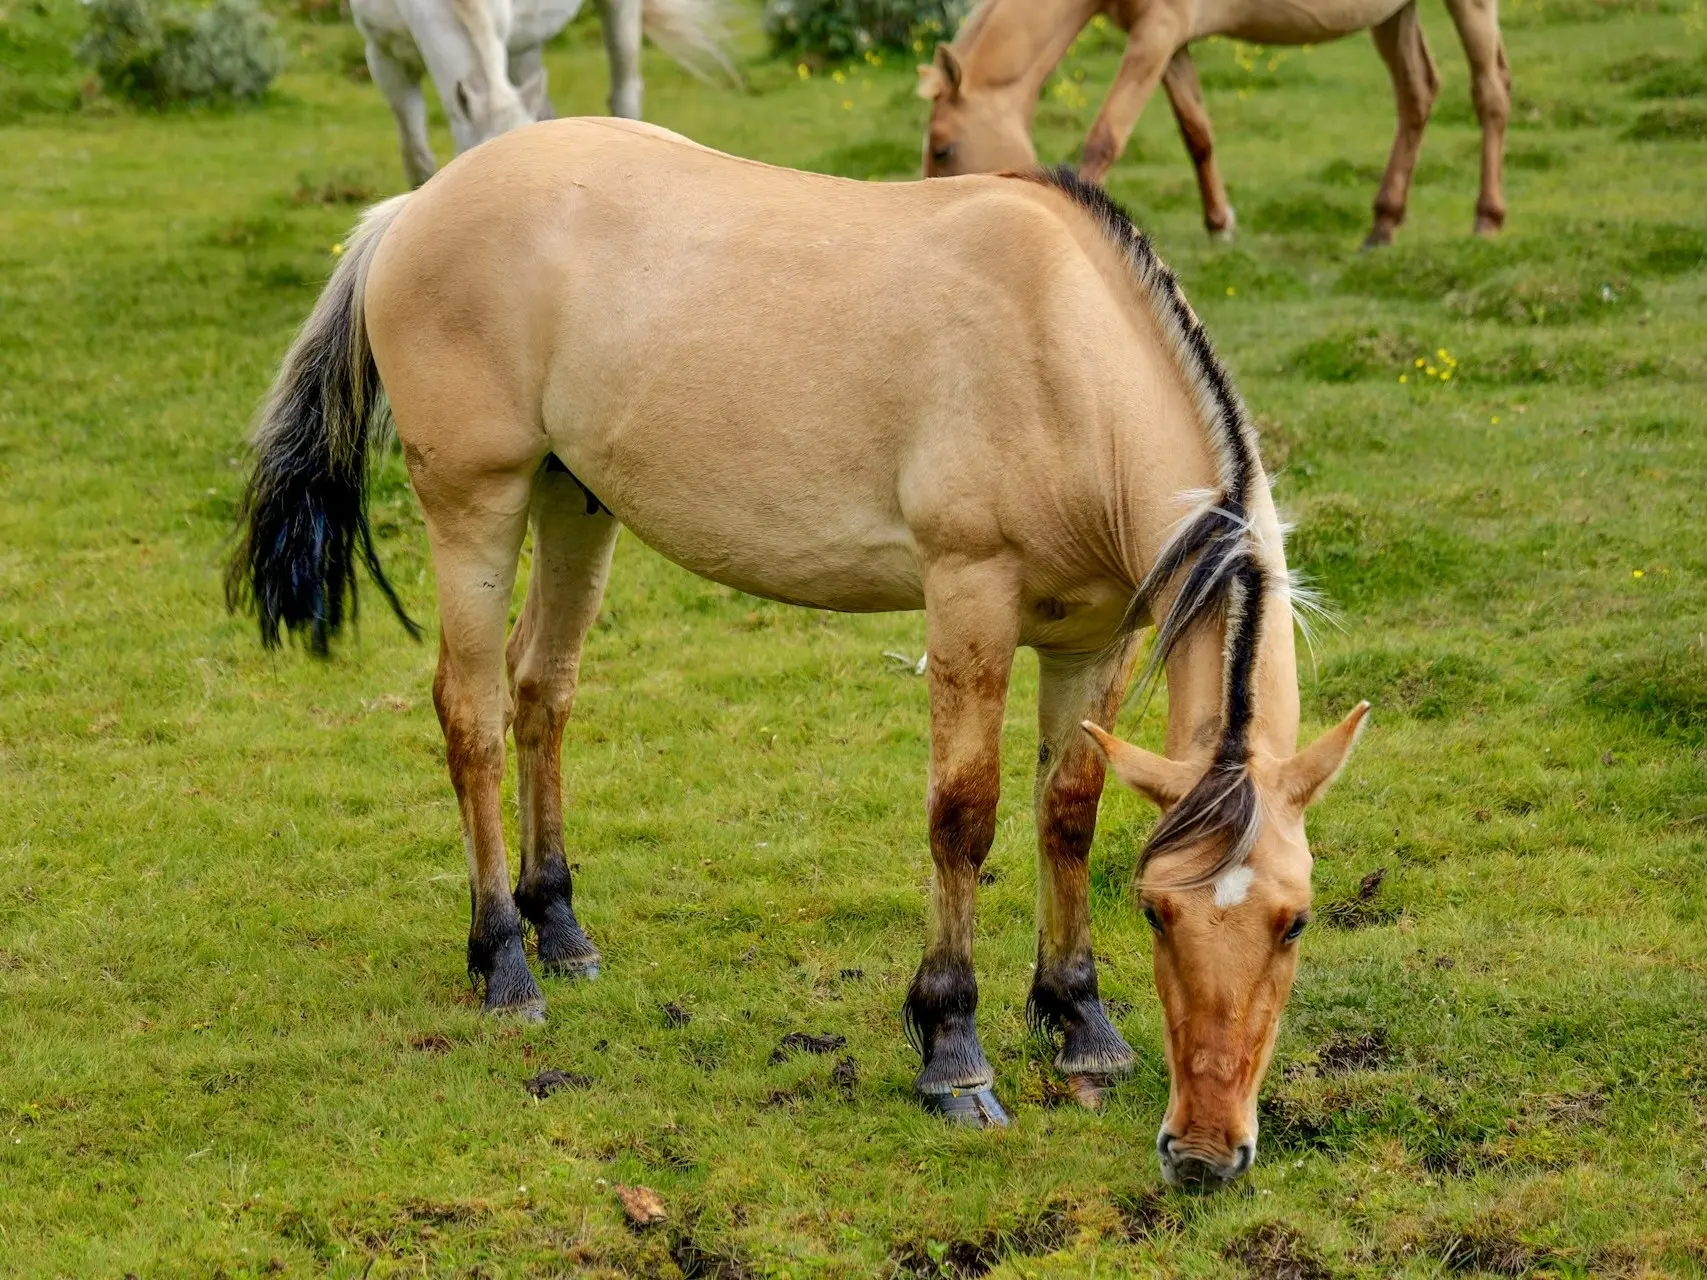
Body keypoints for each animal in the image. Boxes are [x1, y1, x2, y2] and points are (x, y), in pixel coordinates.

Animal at [230, 122, 1372, 1194]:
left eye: (1295, 922)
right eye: (1158, 912)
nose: (1205, 1153)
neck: (1065, 351)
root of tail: (415, 207)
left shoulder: (1094, 636)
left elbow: (1068, 813)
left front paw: (1079, 1021)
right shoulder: (969, 596)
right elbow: (964, 817)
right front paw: (953, 1055)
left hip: (574, 500)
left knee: (539, 691)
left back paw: (560, 926)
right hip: (478, 501)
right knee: (470, 712)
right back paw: (507, 964)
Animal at [921, 0, 1508, 247]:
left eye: (943, 149)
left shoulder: (1157, 32)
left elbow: (1106, 137)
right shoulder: (1171, 42)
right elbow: (1196, 132)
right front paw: (1220, 223)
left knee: (1491, 92)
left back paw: (1487, 219)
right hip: (1393, 14)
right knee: (1417, 92)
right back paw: (1383, 223)